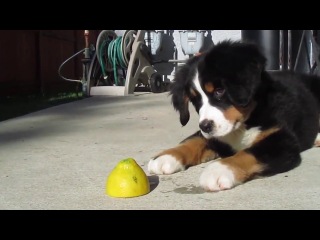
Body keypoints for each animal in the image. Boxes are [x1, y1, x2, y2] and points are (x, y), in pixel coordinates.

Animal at [148, 39, 320, 193]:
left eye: (219, 91)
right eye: (195, 99)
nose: (206, 126)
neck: (243, 125)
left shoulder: (282, 142)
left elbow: (248, 153)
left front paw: (218, 169)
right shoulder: (214, 137)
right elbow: (193, 140)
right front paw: (166, 156)